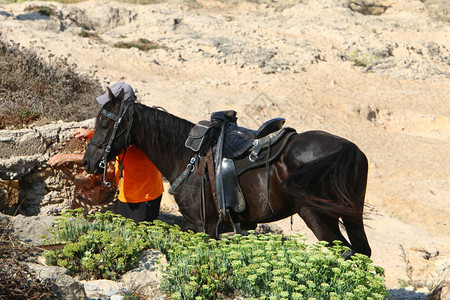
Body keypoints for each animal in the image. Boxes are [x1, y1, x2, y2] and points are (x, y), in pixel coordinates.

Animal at [82, 88, 370, 256]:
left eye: (105, 122)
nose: (87, 162)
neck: (188, 157)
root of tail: (349, 148)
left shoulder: (206, 226)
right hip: (350, 214)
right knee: (362, 252)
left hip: (317, 216)